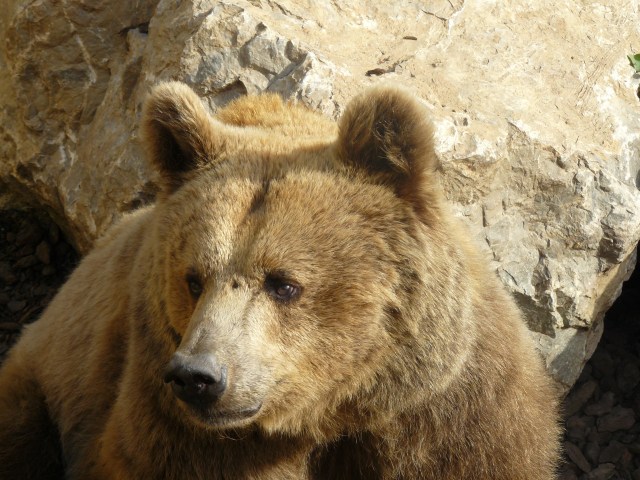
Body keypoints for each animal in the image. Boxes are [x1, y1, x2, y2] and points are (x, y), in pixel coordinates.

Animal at [0, 81, 560, 479]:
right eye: (193, 279)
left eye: (283, 283)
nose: (197, 376)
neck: (333, 412)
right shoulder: (174, 426)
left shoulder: (450, 413)